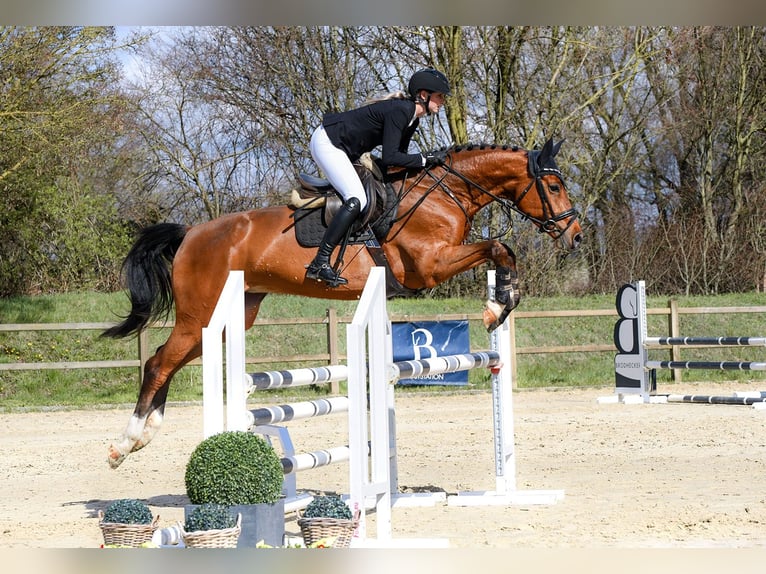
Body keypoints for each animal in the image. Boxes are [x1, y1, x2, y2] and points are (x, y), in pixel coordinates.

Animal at [103, 137, 582, 469]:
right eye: (554, 185)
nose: (576, 236)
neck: (444, 193)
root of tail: (191, 233)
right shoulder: (428, 266)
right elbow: (499, 247)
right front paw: (498, 305)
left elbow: (502, 251)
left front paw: (502, 302)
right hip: (201, 313)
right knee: (159, 363)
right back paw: (124, 443)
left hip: (229, 316)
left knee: (166, 360)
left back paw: (145, 436)